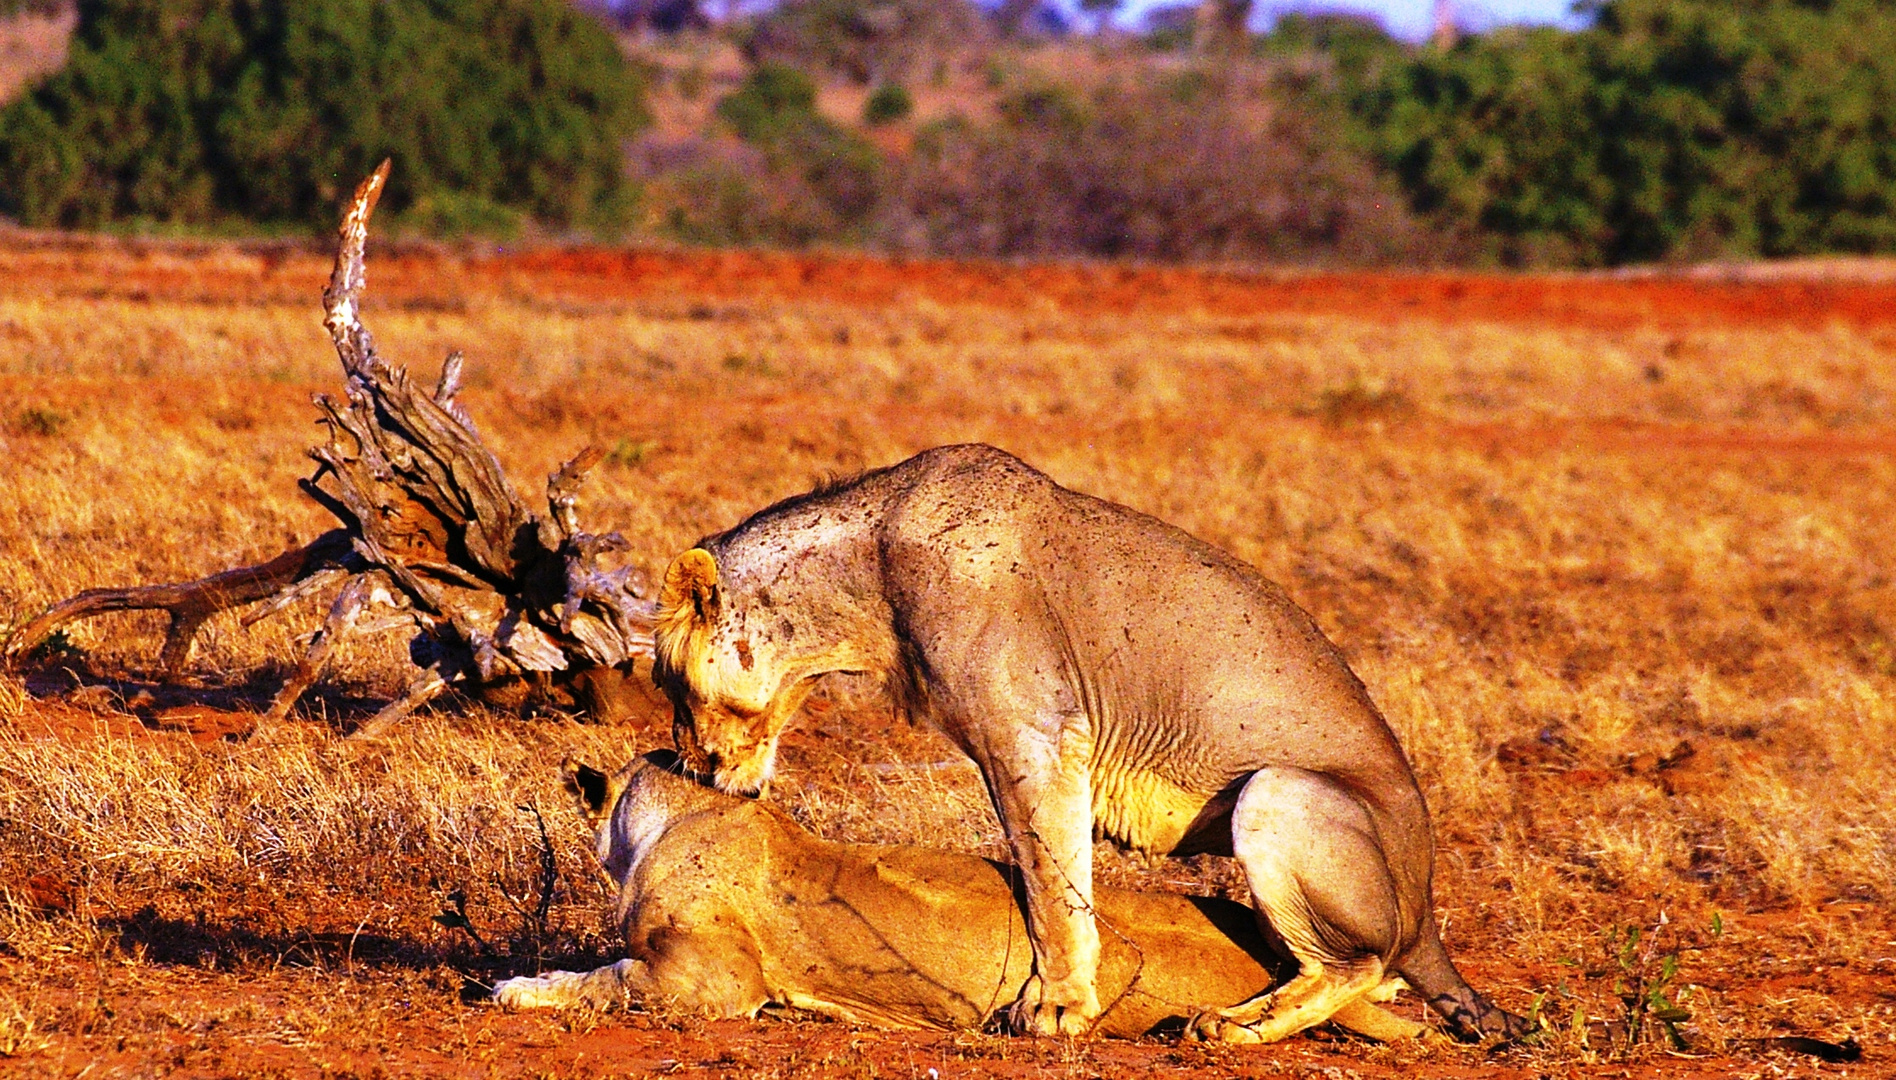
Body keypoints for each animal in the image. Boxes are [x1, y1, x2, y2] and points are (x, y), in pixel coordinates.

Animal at [652, 441, 1524, 1038]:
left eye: (666, 682)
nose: (690, 764)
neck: (862, 585)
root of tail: (1429, 909)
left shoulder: (1035, 738)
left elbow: (1052, 884)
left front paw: (1057, 1008)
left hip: (1279, 790)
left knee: (1361, 964)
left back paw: (1232, 1026)